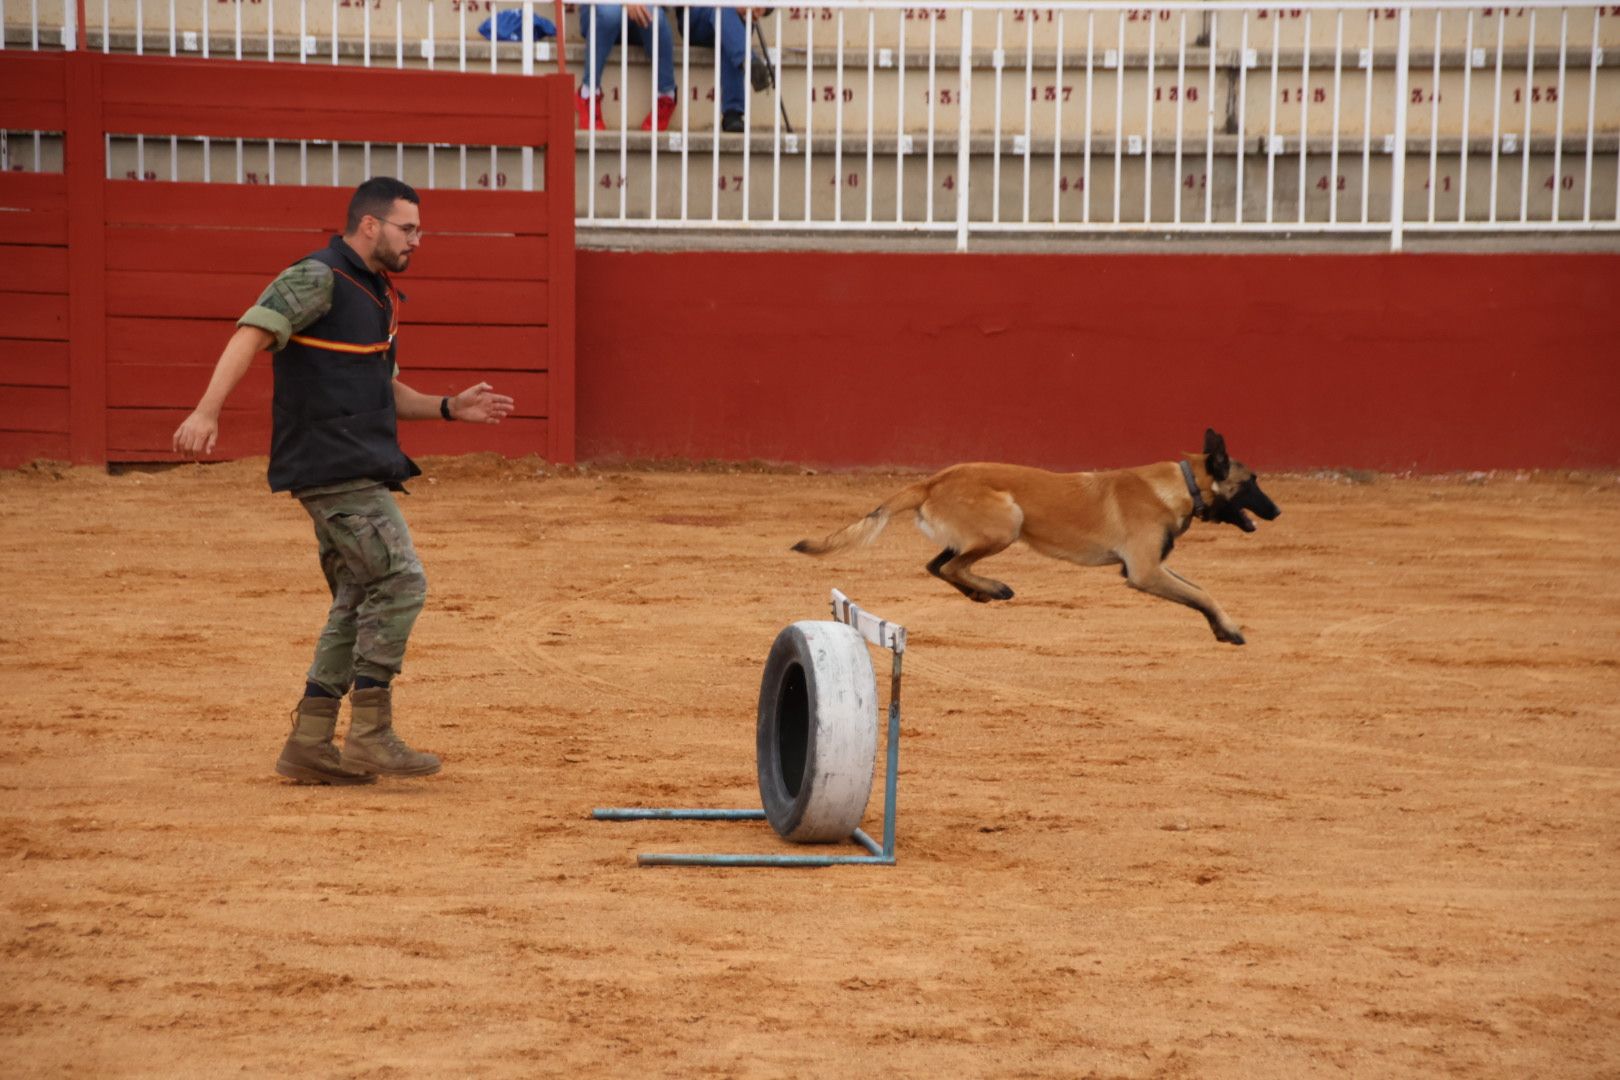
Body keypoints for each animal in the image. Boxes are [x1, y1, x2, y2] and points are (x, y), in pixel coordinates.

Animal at [793, 430, 1276, 647]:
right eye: (1252, 481)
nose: (1277, 511)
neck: (1182, 484)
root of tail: (932, 480)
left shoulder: (1155, 566)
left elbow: (1200, 591)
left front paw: (1221, 626)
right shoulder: (1145, 572)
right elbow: (1204, 593)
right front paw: (1230, 628)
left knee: (939, 565)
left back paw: (980, 592)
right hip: (1009, 521)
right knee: (952, 564)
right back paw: (992, 588)